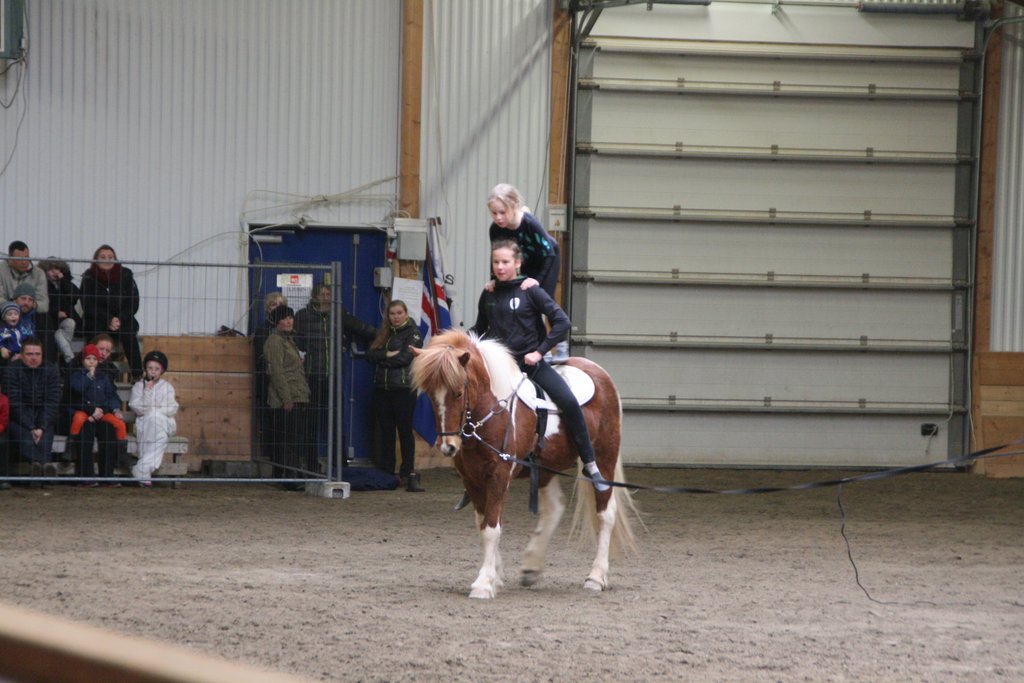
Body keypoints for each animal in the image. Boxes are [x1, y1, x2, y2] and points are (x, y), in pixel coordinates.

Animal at [411, 329, 638, 599]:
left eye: (457, 392)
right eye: (429, 395)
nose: (448, 446)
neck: (491, 412)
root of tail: (600, 373)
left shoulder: (499, 475)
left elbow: (491, 528)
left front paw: (484, 583)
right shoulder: (472, 479)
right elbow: (483, 525)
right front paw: (496, 576)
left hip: (604, 457)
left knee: (605, 513)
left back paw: (596, 577)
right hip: (545, 467)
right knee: (555, 508)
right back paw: (532, 566)